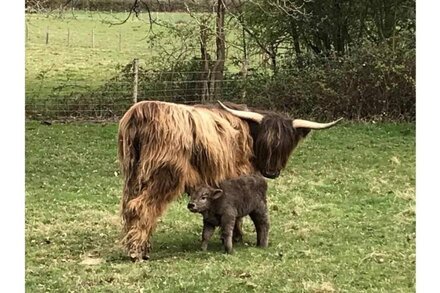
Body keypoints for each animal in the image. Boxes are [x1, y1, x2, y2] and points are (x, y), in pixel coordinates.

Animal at [116, 99, 340, 258]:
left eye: (286, 145)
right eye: (266, 144)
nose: (271, 172)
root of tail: (141, 112)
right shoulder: (238, 176)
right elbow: (238, 211)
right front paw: (238, 237)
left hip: (133, 176)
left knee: (129, 206)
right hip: (164, 176)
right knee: (141, 206)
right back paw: (138, 252)